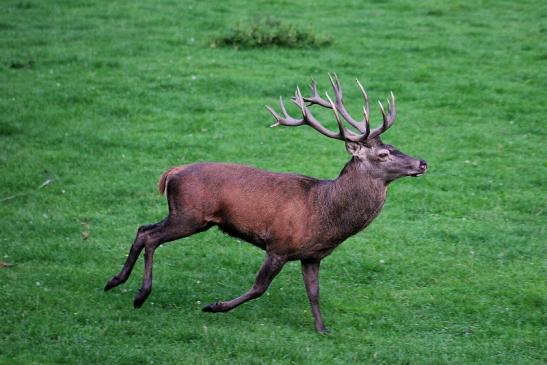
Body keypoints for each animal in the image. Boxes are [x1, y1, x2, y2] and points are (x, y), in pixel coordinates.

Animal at [103, 74, 428, 332]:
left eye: (394, 146)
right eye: (383, 154)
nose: (422, 163)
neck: (325, 215)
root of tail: (171, 172)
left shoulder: (312, 255)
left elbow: (314, 293)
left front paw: (323, 329)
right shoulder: (279, 245)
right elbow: (259, 287)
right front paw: (214, 306)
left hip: (183, 215)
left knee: (143, 228)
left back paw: (114, 281)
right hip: (189, 215)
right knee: (151, 237)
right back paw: (140, 295)